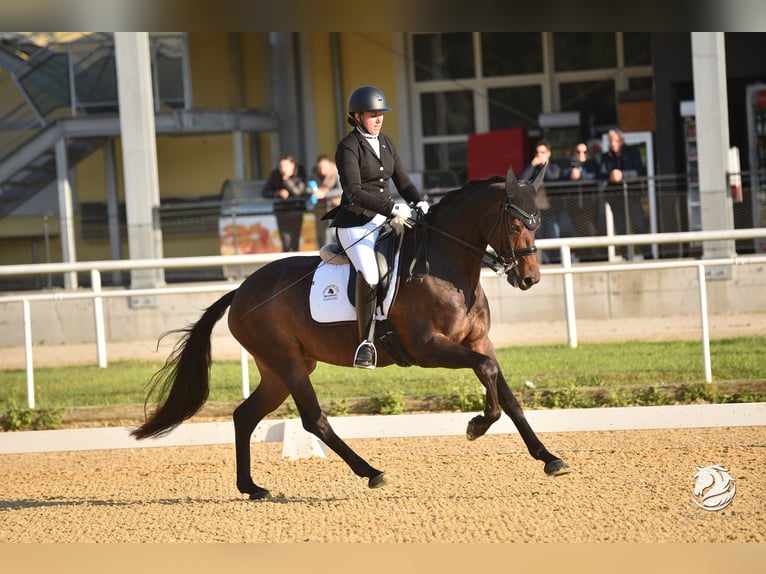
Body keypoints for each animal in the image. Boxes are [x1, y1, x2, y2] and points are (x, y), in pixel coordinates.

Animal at [131, 164, 571, 500]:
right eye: (514, 223)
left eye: (537, 223)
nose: (529, 278)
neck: (445, 267)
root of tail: (240, 291)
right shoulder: (430, 348)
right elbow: (487, 372)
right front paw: (477, 425)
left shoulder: (478, 341)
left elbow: (507, 394)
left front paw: (549, 458)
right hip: (287, 363)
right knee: (314, 420)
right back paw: (371, 472)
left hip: (280, 369)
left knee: (245, 415)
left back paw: (252, 488)